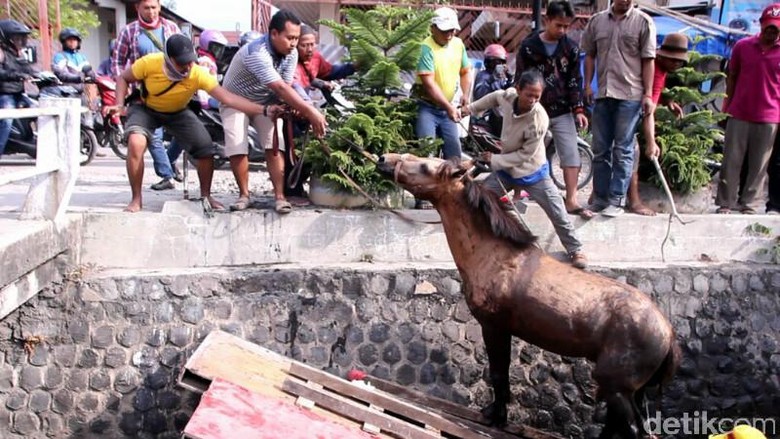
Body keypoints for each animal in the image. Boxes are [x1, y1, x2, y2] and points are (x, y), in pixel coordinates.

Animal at [374, 153, 680, 438]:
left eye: (426, 166)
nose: (384, 159)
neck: (493, 254)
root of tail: (668, 335)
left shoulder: (494, 326)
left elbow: (499, 374)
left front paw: (495, 417)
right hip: (632, 391)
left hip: (616, 386)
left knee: (632, 429)